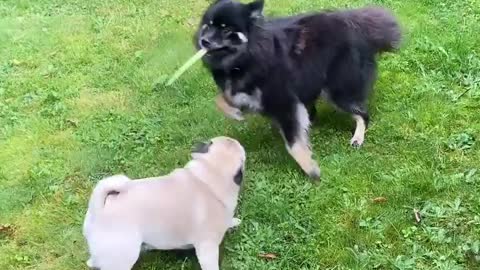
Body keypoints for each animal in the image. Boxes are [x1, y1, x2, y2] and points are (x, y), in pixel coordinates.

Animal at [195, 0, 402, 180]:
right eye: (208, 26)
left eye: (226, 29)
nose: (204, 41)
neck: (247, 57)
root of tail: (356, 26)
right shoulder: (249, 94)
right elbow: (221, 99)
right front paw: (235, 113)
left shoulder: (284, 101)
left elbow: (294, 144)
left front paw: (311, 170)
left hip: (337, 90)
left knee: (362, 114)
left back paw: (357, 137)